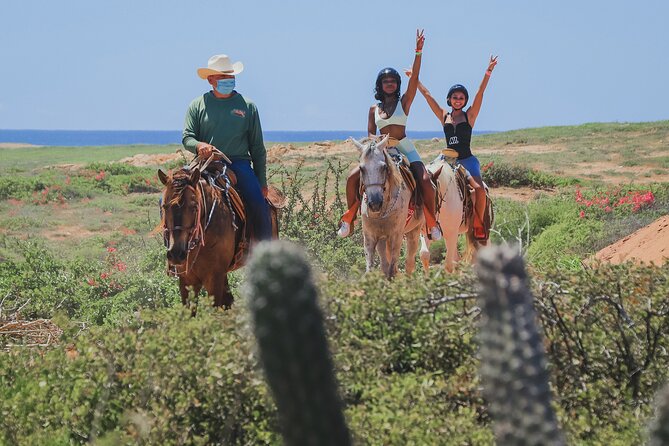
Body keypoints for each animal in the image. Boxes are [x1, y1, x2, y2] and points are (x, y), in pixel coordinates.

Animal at [350, 136, 428, 278]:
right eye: (361, 168)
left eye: (384, 167)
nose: (375, 203)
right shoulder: (370, 236)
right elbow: (371, 269)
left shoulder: (396, 236)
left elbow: (392, 270)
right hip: (383, 239)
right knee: (384, 264)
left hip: (413, 232)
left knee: (409, 263)